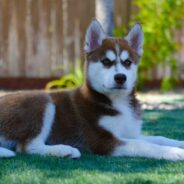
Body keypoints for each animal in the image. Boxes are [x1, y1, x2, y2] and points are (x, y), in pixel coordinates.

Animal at [0, 19, 184, 160]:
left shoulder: (130, 133)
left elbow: (159, 138)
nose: (120, 77)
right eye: (106, 62)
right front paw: (174, 152)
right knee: (27, 146)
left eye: (127, 62)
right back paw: (65, 150)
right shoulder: (102, 140)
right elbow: (143, 144)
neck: (118, 102)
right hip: (43, 101)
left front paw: (179, 144)